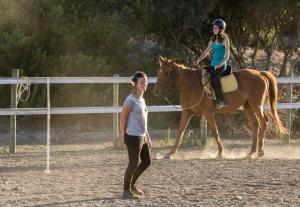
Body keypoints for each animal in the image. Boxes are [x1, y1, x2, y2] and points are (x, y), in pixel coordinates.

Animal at [154, 55, 288, 159]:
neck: (192, 85)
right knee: (255, 125)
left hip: (256, 105)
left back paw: (260, 152)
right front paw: (169, 154)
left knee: (264, 122)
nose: (156, 90)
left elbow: (215, 132)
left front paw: (220, 153)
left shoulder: (208, 114)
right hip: (248, 106)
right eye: (158, 72)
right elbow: (180, 132)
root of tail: (260, 73)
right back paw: (251, 152)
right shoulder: (187, 113)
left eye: (166, 73)